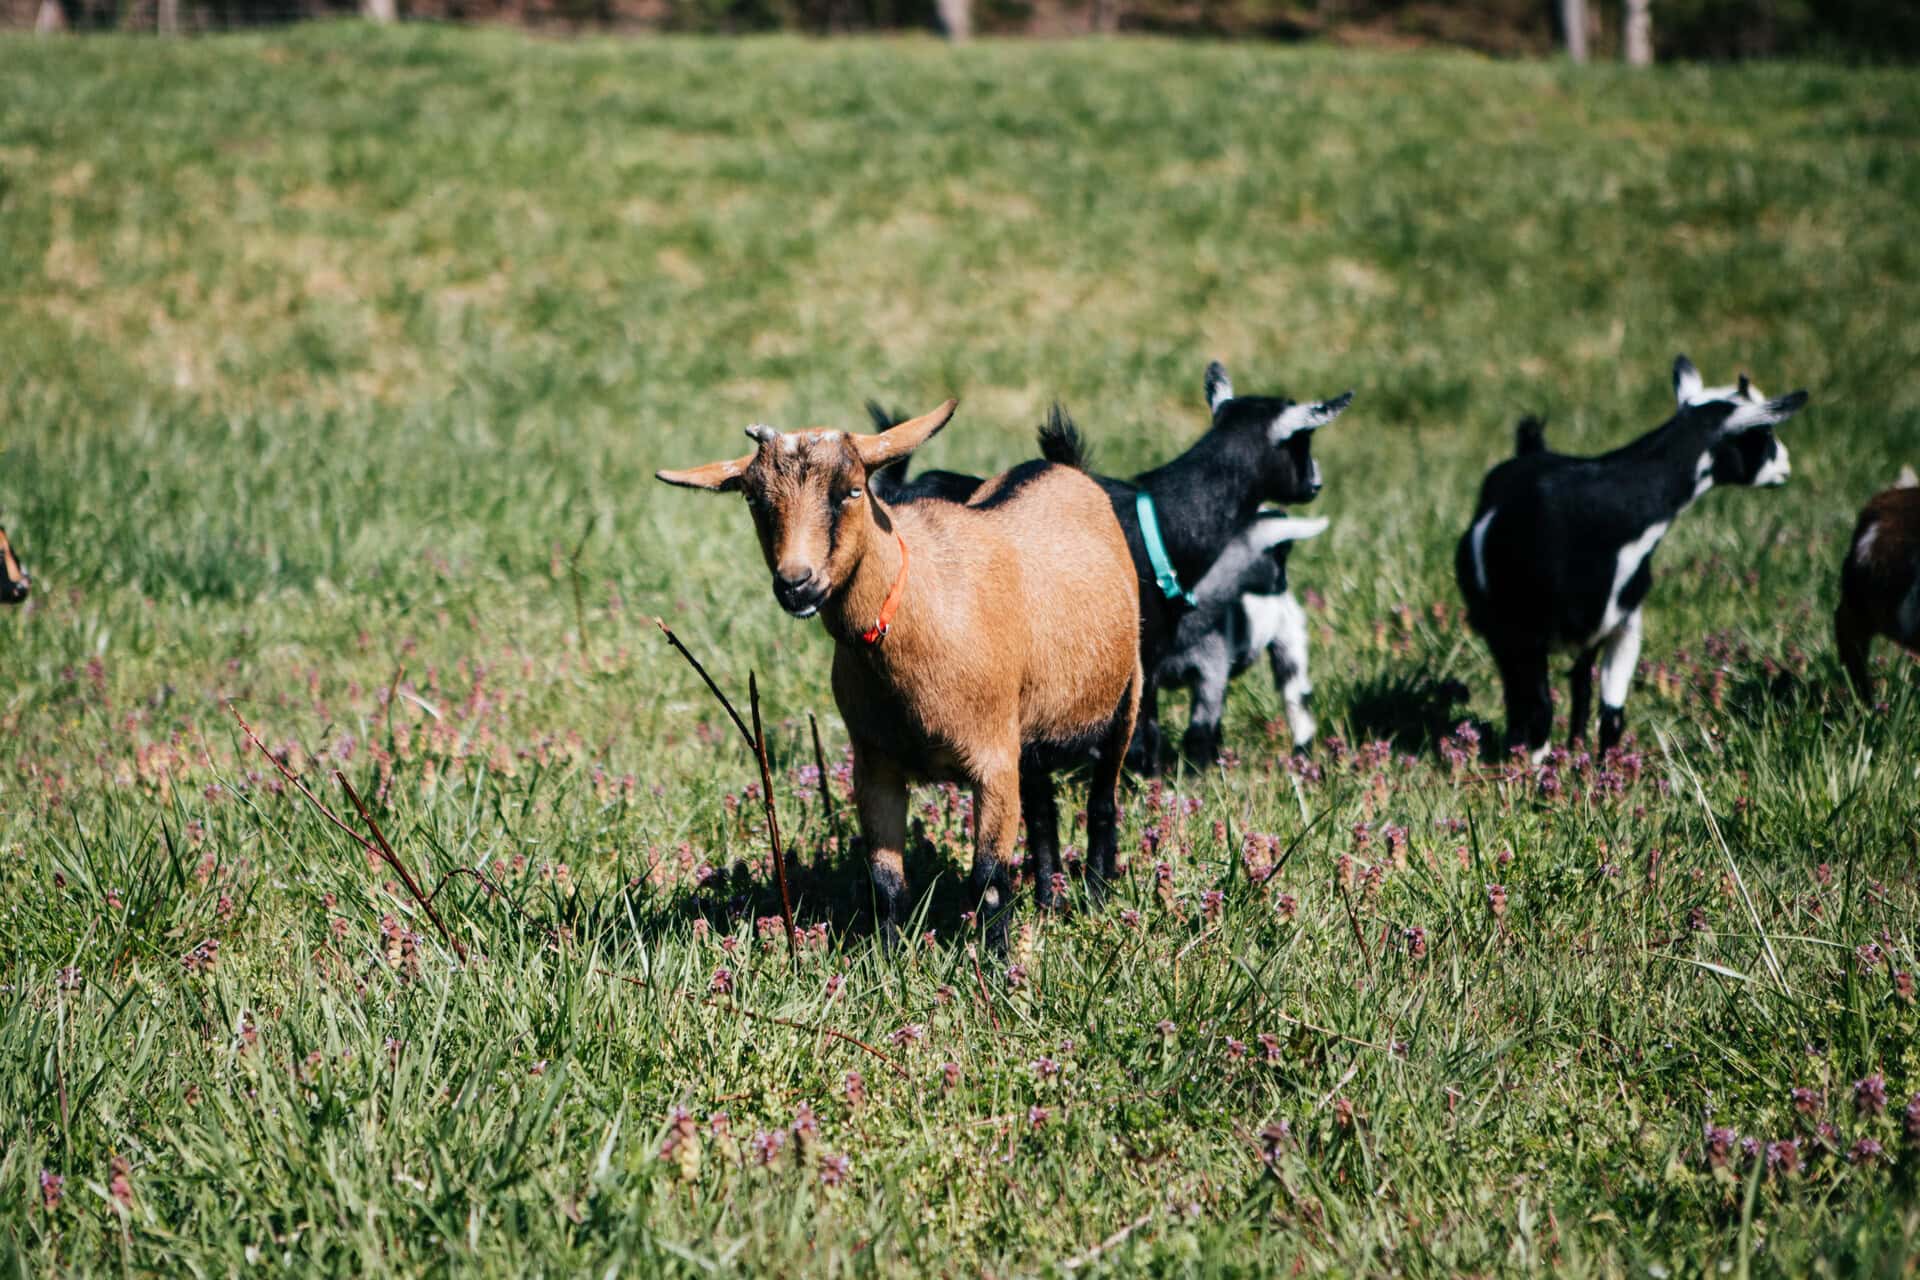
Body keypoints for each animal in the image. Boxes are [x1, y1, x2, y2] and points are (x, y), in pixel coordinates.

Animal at [657, 401, 1141, 952]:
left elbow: (990, 880)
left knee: (1101, 801)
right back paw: (1048, 899)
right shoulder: (876, 764)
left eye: (851, 490)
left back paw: (1095, 897)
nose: (796, 583)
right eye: (755, 500)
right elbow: (886, 879)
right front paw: (886, 957)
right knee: (1042, 809)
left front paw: (996, 962)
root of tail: (1061, 465)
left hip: (1126, 696)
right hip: (1032, 730)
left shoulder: (993, 757)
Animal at [1455, 355, 1808, 759]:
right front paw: (1534, 770)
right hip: (1500, 627)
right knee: (1521, 699)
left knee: (1578, 685)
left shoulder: (1624, 624)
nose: (1786, 465)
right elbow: (1539, 710)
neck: (1613, 510)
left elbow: (1612, 716)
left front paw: (1601, 768)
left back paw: (1574, 749)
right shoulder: (1525, 632)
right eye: (1763, 433)